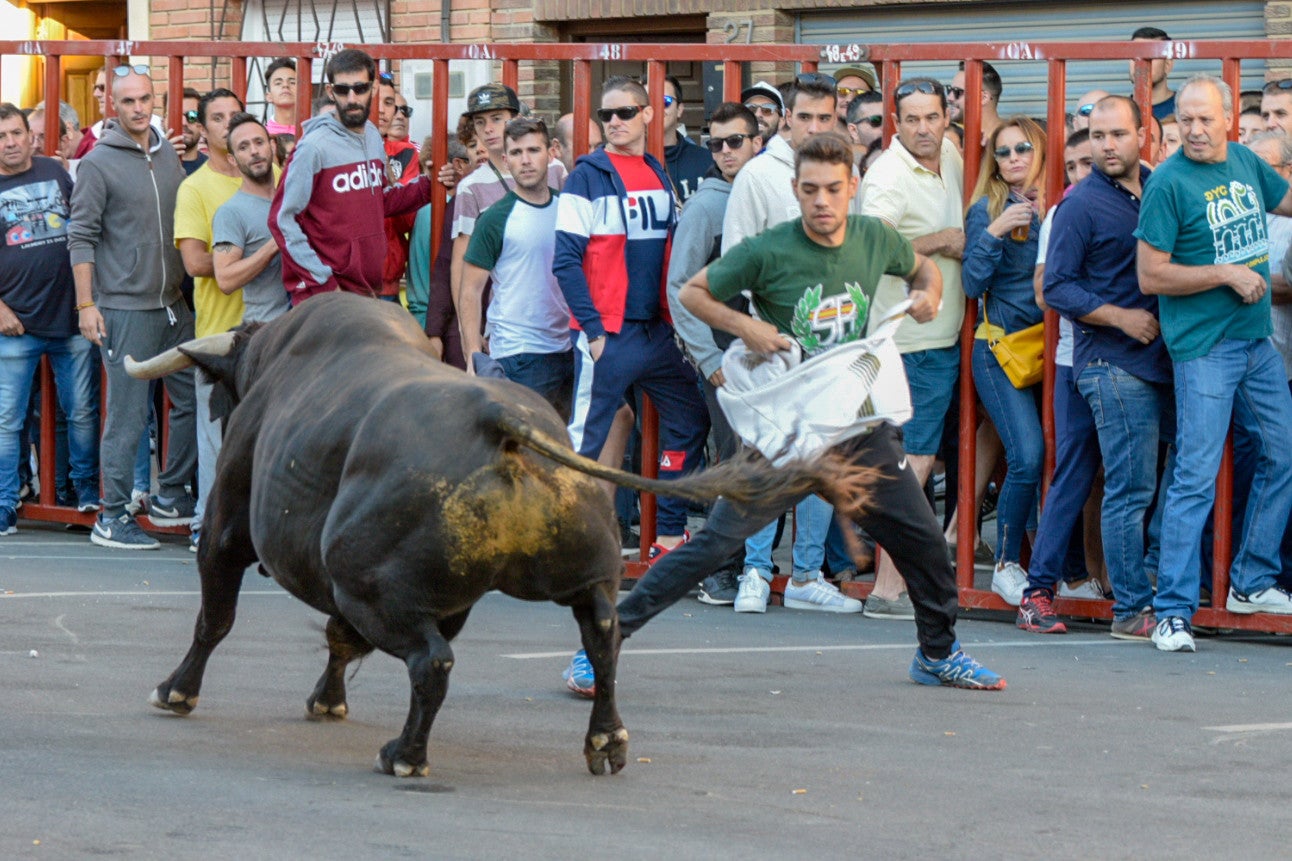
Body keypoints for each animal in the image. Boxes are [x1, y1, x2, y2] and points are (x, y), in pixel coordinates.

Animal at [125, 292, 868, 775]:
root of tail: (499, 418)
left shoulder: (227, 525)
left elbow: (216, 617)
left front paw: (175, 689)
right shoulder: (443, 599)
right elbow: (338, 640)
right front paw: (327, 701)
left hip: (367, 580)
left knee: (431, 661)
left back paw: (406, 756)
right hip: (578, 573)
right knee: (603, 640)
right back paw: (606, 741)